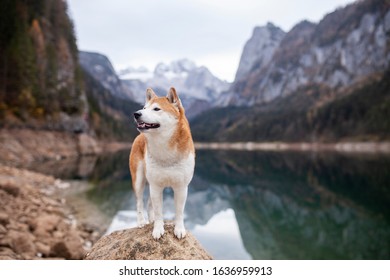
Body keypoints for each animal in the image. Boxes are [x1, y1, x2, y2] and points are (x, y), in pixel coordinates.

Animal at [129, 87, 194, 238]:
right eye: (144, 108)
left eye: (156, 109)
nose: (136, 113)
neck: (165, 152)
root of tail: (139, 136)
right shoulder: (156, 186)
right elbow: (159, 212)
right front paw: (158, 229)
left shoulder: (181, 187)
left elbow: (179, 212)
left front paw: (179, 229)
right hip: (139, 179)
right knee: (139, 202)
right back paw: (141, 222)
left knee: (148, 203)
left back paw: (150, 219)